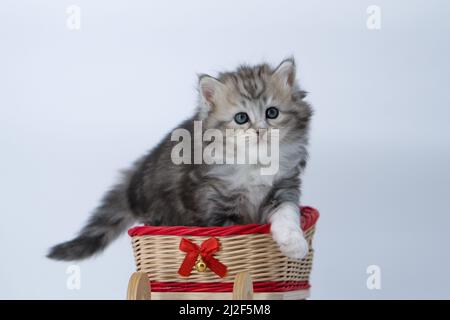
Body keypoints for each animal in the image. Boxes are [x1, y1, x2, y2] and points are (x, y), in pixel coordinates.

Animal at [46, 58, 312, 262]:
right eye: (241, 118)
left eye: (272, 113)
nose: (260, 131)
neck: (255, 163)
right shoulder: (213, 204)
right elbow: (230, 233)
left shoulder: (285, 187)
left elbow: (288, 214)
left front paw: (295, 245)